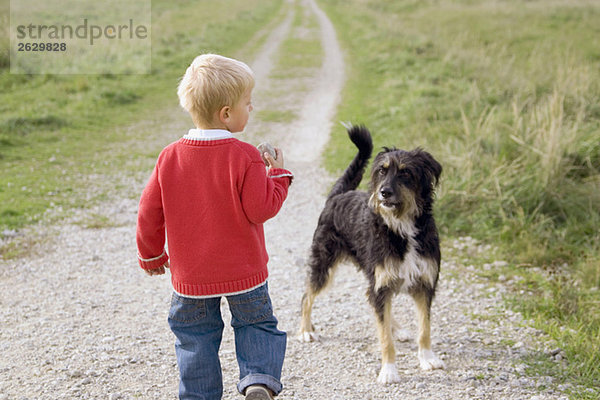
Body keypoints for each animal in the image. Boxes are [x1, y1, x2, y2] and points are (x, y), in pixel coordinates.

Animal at [298, 124, 446, 382]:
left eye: (406, 173)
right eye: (381, 171)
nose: (383, 192)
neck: (401, 227)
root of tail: (337, 195)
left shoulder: (424, 285)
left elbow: (424, 328)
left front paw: (427, 358)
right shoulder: (382, 284)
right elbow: (384, 338)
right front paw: (389, 371)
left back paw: (398, 329)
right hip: (324, 264)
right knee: (307, 296)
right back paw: (306, 330)